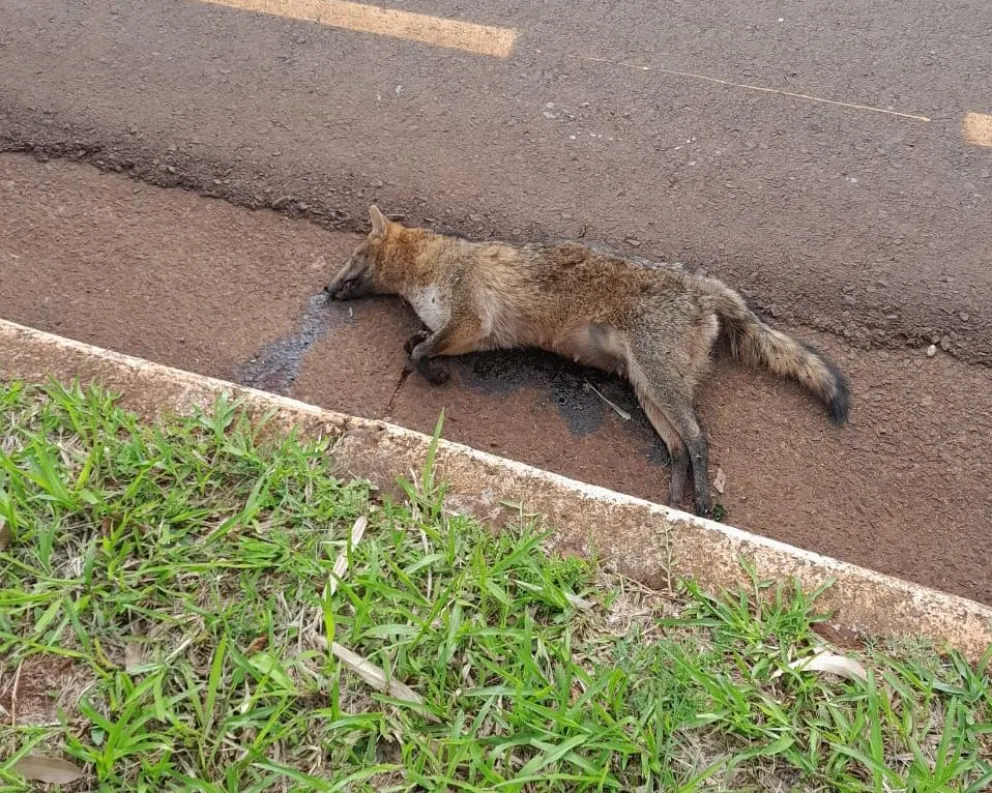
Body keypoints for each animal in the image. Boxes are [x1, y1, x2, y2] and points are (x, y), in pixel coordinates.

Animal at [325, 205, 850, 517]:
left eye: (352, 256)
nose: (327, 290)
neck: (432, 265)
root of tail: (698, 284)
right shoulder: (473, 336)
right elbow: (415, 343)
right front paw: (427, 358)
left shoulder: (471, 321)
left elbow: (416, 352)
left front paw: (432, 373)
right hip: (647, 392)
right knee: (678, 448)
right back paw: (673, 502)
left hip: (658, 385)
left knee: (699, 440)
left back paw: (700, 501)